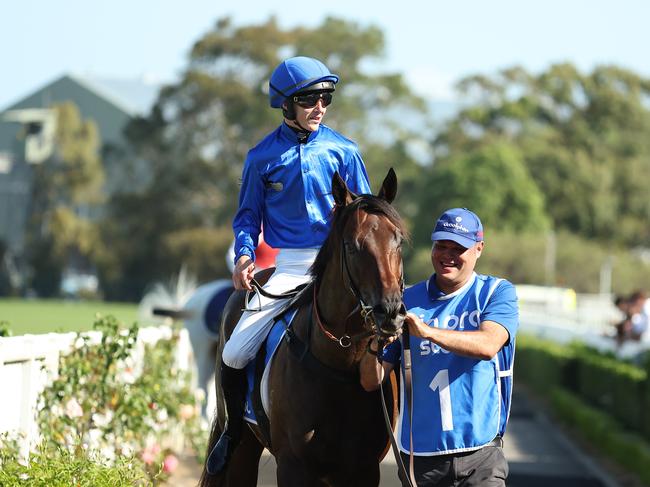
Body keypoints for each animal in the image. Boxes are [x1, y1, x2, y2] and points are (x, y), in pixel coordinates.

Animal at [200, 169, 408, 487]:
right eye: (352, 246)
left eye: (398, 241)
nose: (391, 313)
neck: (339, 365)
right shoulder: (293, 467)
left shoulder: (363, 469)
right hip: (242, 447)